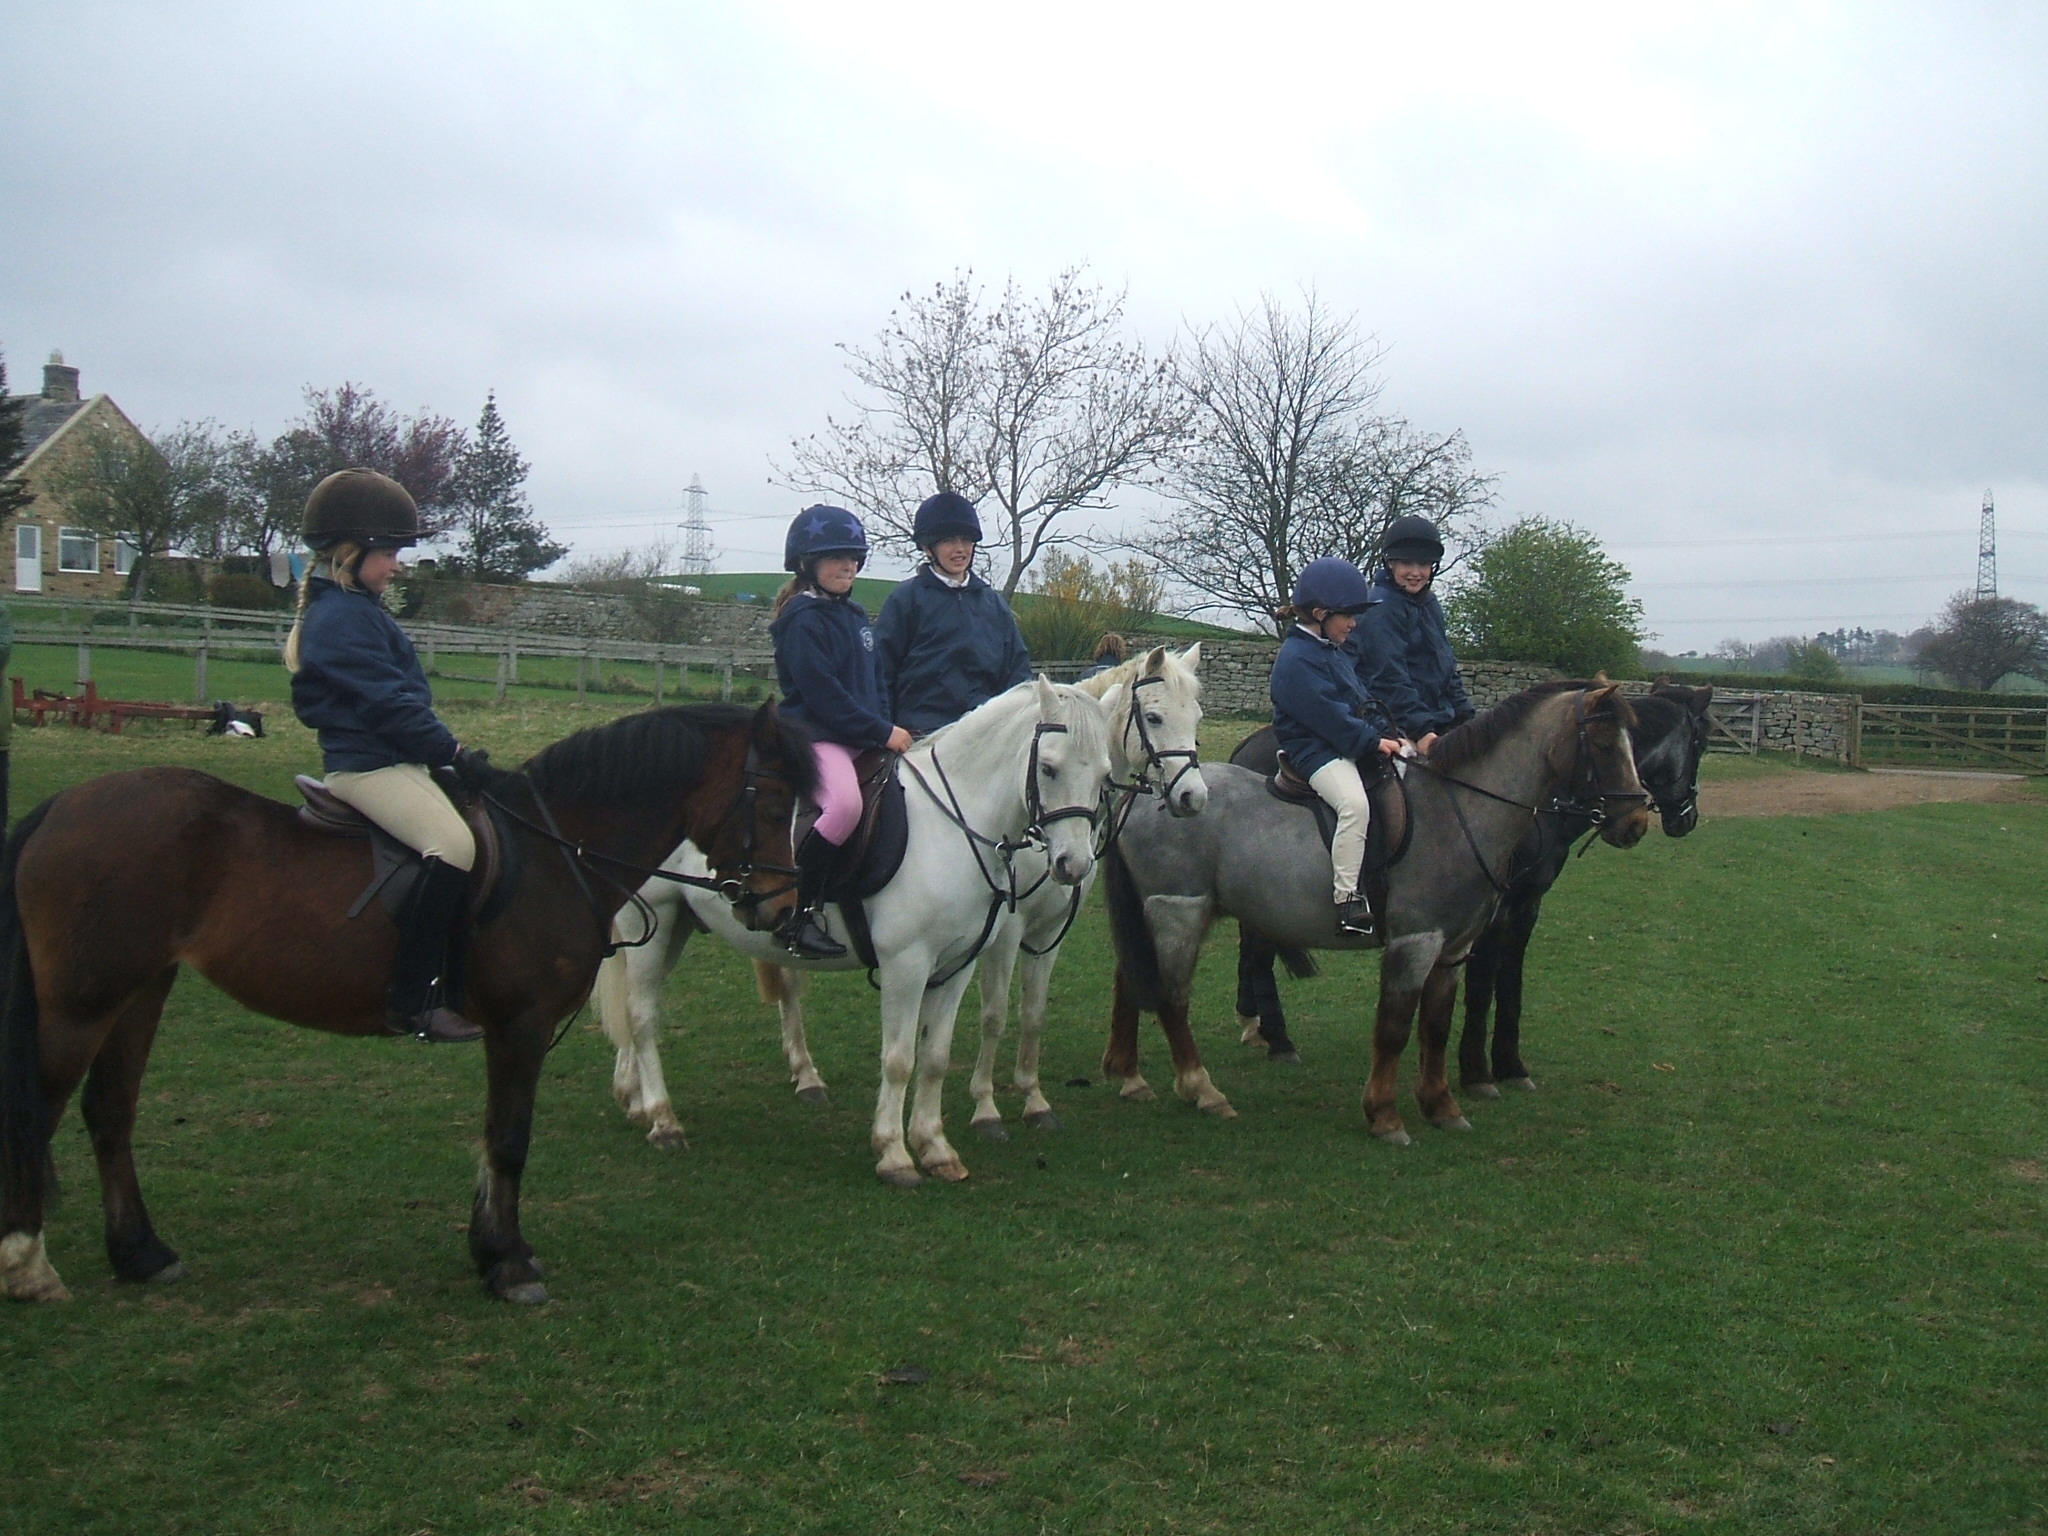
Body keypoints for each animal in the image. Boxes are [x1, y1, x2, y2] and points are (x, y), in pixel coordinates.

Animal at [0, 702, 812, 1305]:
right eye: (774, 804)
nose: (781, 908)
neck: (557, 850)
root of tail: (62, 806)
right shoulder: (519, 1026)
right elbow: (509, 1139)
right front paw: (509, 1264)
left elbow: (492, 1137)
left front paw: (489, 1250)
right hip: (82, 1002)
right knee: (36, 1115)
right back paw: (30, 1268)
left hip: (141, 989)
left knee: (109, 1112)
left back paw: (141, 1254)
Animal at [599, 678, 1114, 1187]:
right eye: (1048, 768)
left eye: (1104, 776)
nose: (1073, 866)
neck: (954, 825)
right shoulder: (907, 964)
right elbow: (899, 1059)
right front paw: (894, 1154)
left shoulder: (956, 966)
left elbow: (935, 1057)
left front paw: (935, 1147)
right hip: (652, 920)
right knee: (642, 1016)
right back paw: (663, 1120)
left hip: (673, 926)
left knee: (634, 1006)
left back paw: (634, 1101)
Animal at [732, 644, 1208, 1139]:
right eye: (1153, 717)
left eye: (1196, 716)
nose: (1193, 797)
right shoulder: (1005, 931)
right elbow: (994, 1015)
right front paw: (986, 1107)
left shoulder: (1049, 930)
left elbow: (1032, 1014)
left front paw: (1034, 1099)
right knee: (789, 983)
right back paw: (806, 1076)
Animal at [1099, 681, 1651, 1141]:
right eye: (1605, 743)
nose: (1637, 822)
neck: (1458, 812)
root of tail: (1156, 794)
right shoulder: (1415, 944)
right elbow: (1393, 1029)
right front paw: (1385, 1116)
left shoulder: (1453, 949)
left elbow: (1435, 1027)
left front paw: (1442, 1107)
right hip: (1179, 914)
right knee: (1171, 997)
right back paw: (1202, 1090)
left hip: (1160, 914)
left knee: (1130, 977)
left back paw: (1128, 1075)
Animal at [1228, 681, 1715, 1089]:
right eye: (1700, 743)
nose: (1677, 820)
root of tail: (1248, 746)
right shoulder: (1490, 913)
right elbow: (1482, 983)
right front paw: (1478, 1070)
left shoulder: (1524, 907)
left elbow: (1510, 981)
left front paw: (1509, 1064)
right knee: (1257, 950)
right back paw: (1277, 1038)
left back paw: (1254, 1023)